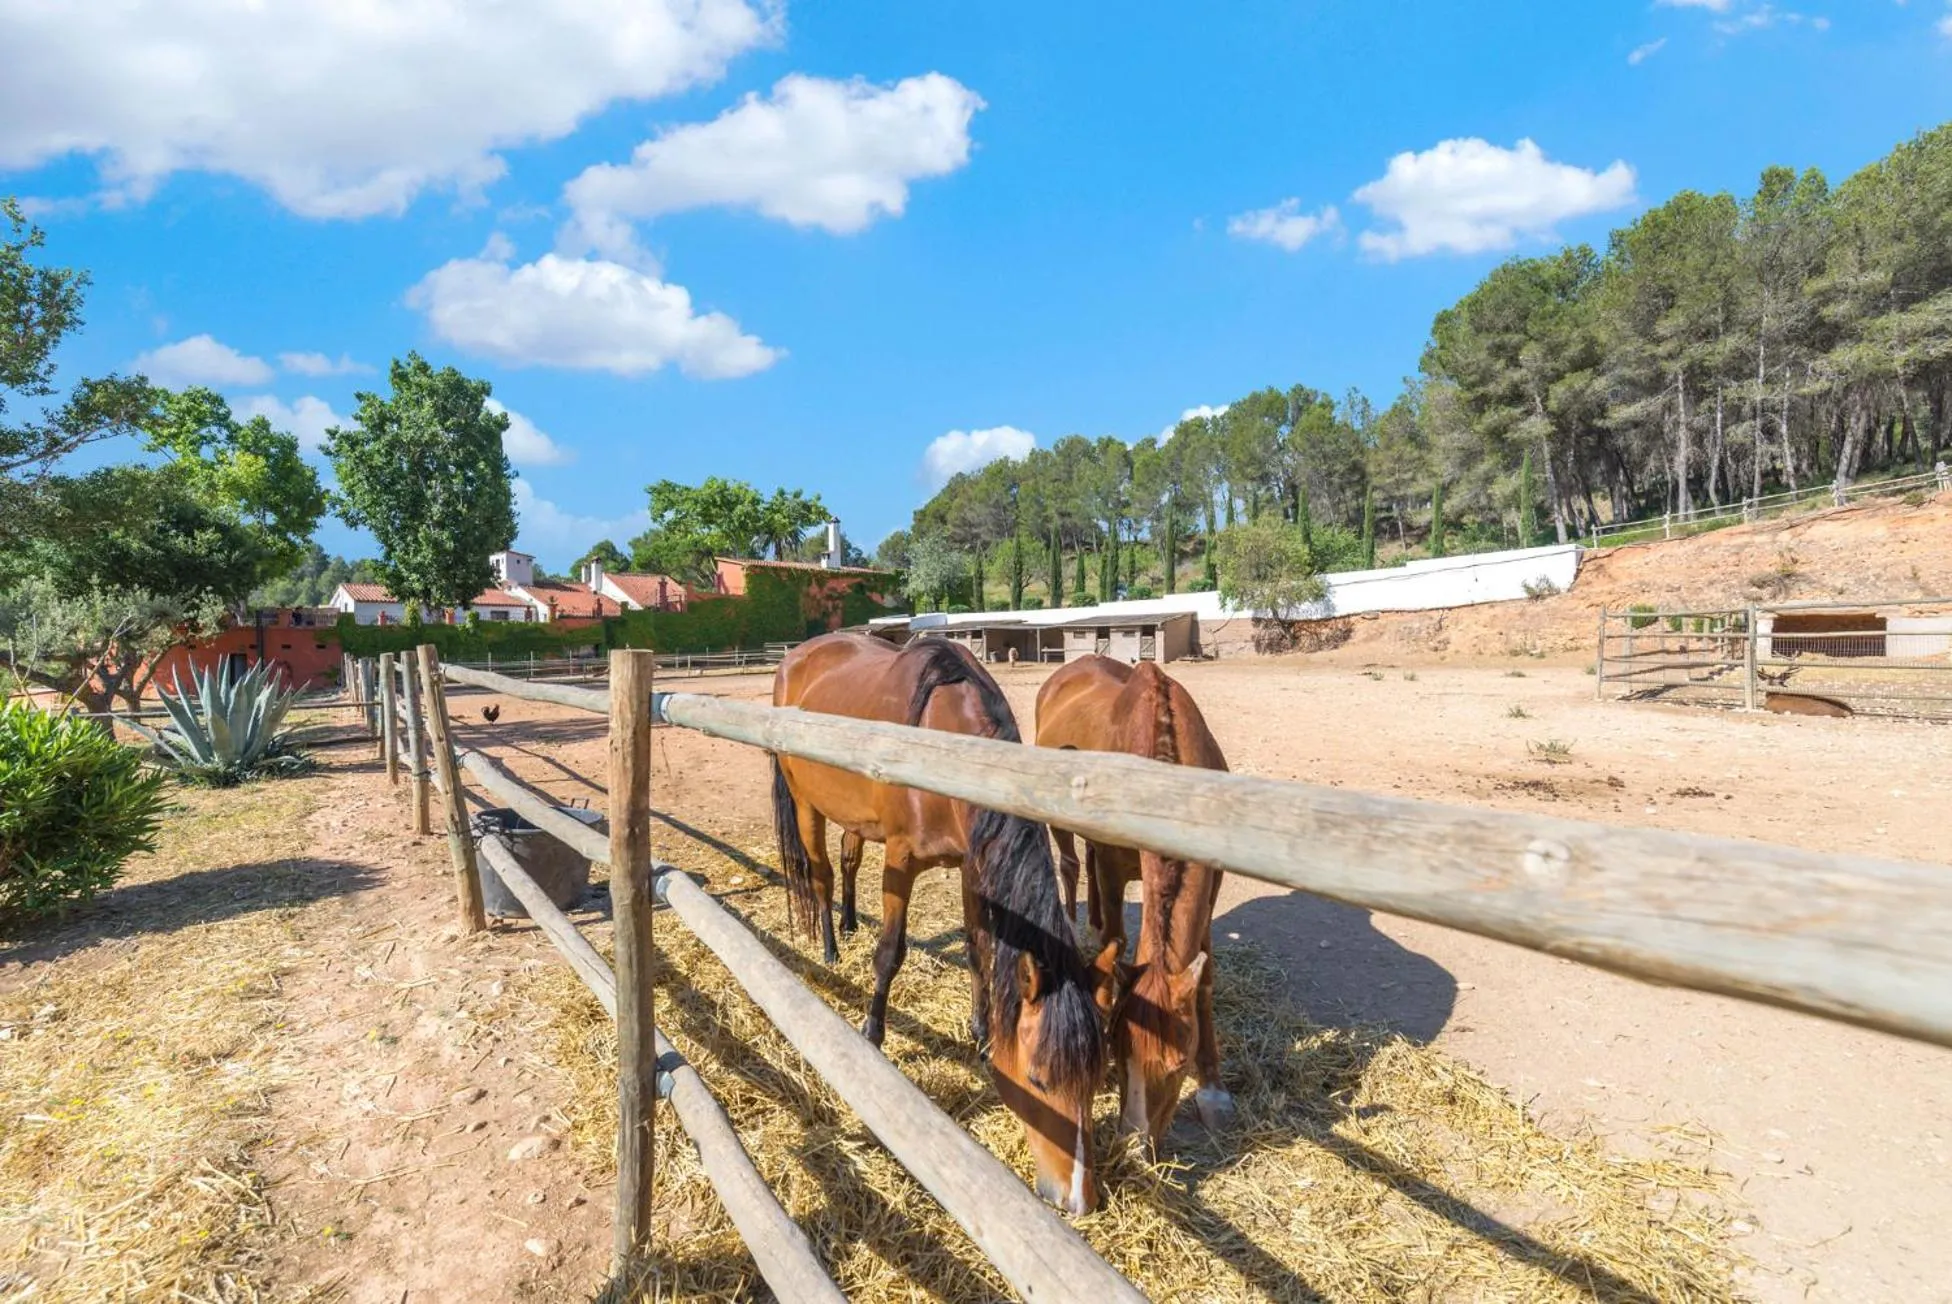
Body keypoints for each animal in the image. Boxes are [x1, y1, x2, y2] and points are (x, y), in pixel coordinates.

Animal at [771, 633, 1119, 1213]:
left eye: (1094, 1081)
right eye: (1040, 1081)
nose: (1078, 1199)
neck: (948, 743)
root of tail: (796, 656)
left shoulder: (970, 865)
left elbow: (980, 951)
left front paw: (981, 1035)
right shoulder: (901, 860)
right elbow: (891, 952)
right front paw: (872, 1034)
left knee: (847, 857)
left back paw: (849, 922)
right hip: (805, 802)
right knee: (820, 873)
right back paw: (830, 947)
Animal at [1035, 655, 1236, 1150]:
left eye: (1179, 1065)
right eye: (1117, 1048)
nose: (1132, 1143)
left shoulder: (1211, 882)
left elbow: (1205, 977)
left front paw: (1214, 1089)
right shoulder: (1112, 868)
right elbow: (1117, 940)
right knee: (1071, 863)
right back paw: (1075, 923)